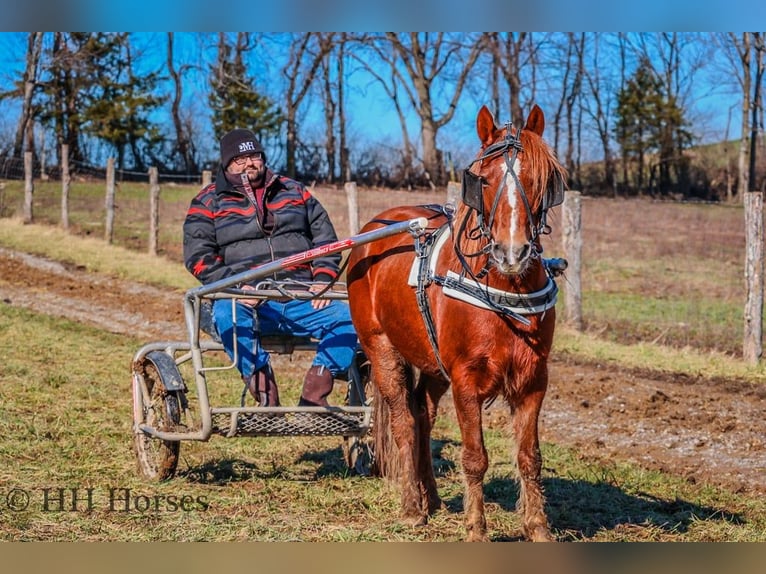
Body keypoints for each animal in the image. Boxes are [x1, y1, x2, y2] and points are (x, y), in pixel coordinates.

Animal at [346, 104, 567, 542]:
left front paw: (537, 528)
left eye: (541, 179)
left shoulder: (534, 379)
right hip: (381, 347)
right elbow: (474, 457)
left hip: (433, 362)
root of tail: (376, 226)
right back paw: (412, 507)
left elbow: (529, 456)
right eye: (483, 179)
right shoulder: (466, 379)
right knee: (404, 422)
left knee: (423, 416)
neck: (504, 290)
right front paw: (476, 530)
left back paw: (429, 497)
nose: (512, 252)